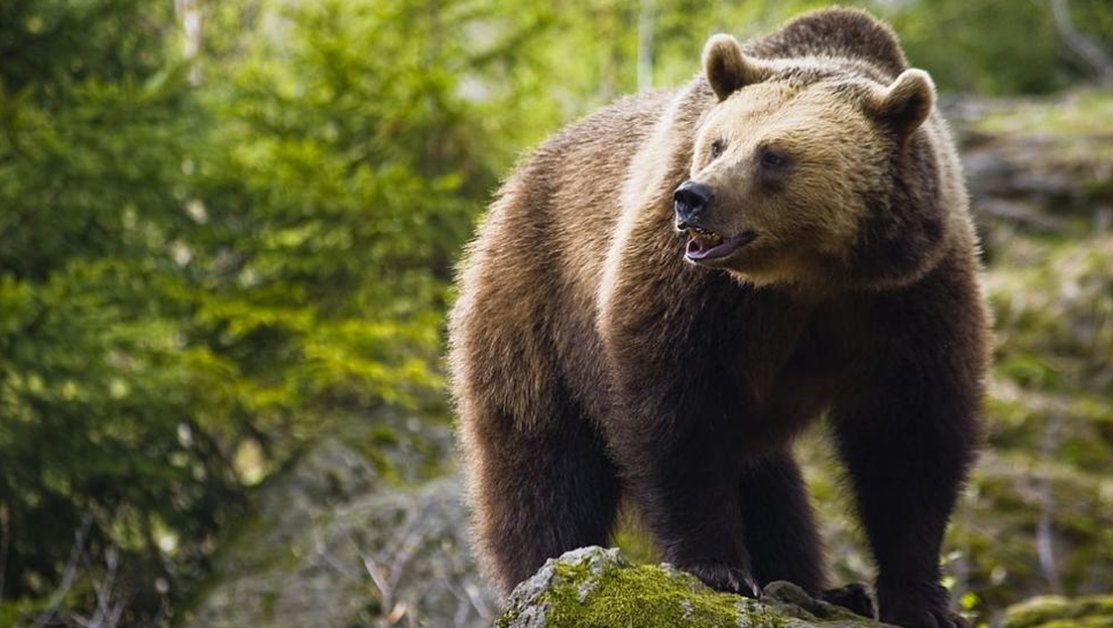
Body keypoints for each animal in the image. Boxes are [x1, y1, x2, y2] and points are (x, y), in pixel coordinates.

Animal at [447, 8, 988, 628]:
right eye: (716, 143)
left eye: (773, 155)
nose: (692, 198)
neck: (807, 272)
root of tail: (518, 176)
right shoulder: (694, 291)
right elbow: (678, 414)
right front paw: (717, 568)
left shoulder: (906, 293)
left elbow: (909, 436)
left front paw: (922, 600)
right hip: (532, 302)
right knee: (541, 460)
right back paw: (543, 563)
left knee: (772, 486)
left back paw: (823, 588)